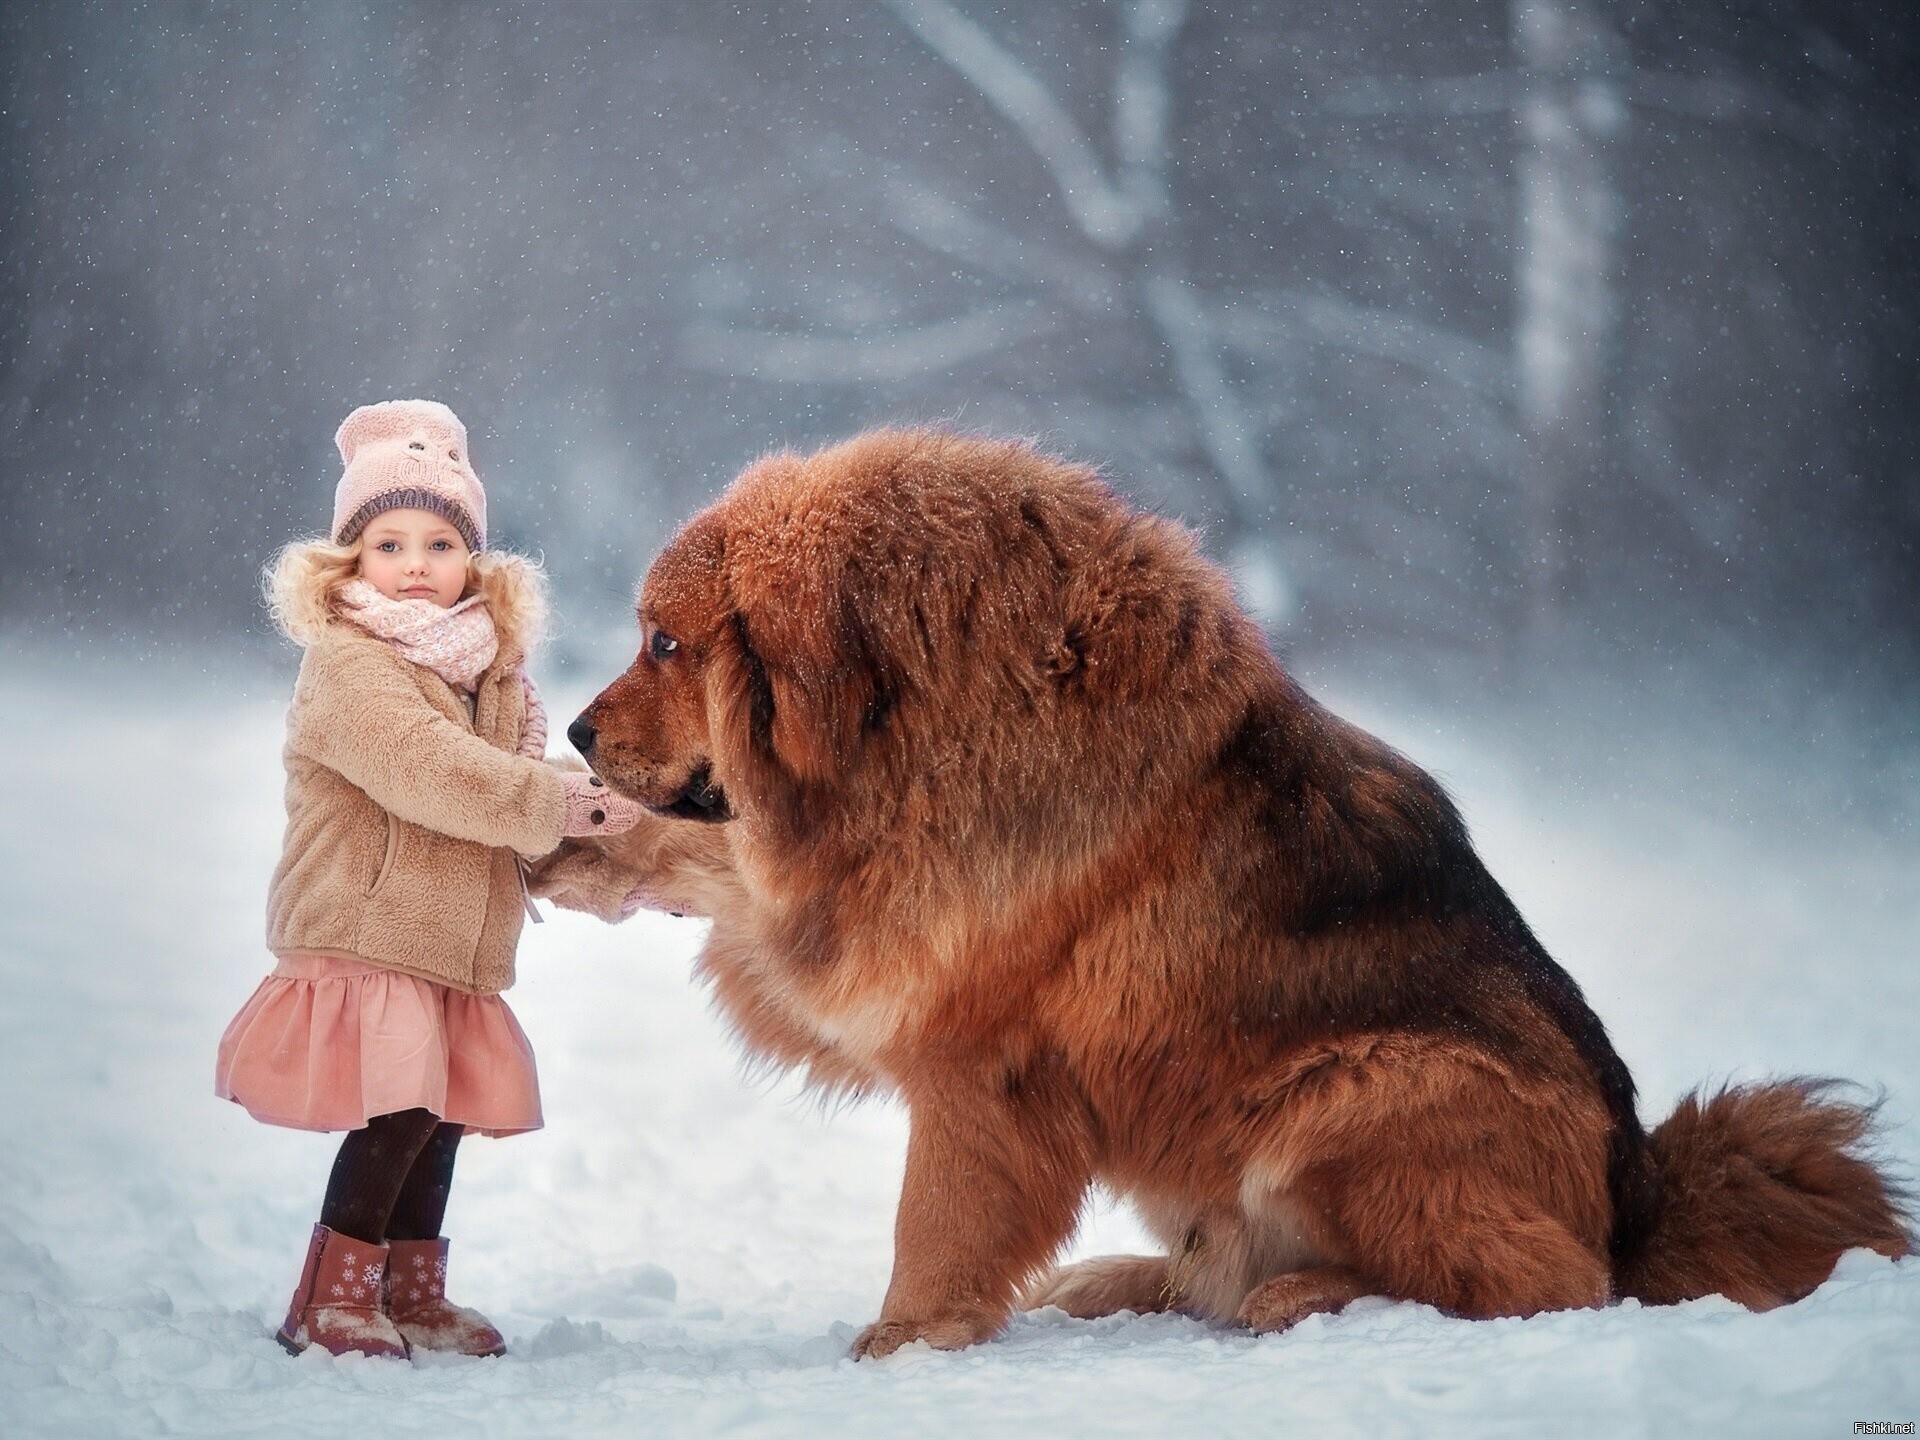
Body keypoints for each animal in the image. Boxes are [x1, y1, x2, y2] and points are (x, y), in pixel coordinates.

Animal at [533, 432, 1912, 1367]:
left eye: (666, 643)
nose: (579, 728)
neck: (914, 722)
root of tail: (1640, 1200)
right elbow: (714, 859)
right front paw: (572, 839)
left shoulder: (970, 1050)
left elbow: (936, 1225)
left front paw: (902, 1344)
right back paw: (1127, 1281)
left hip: (1357, 1090)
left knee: (1545, 1282)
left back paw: (1300, 1299)